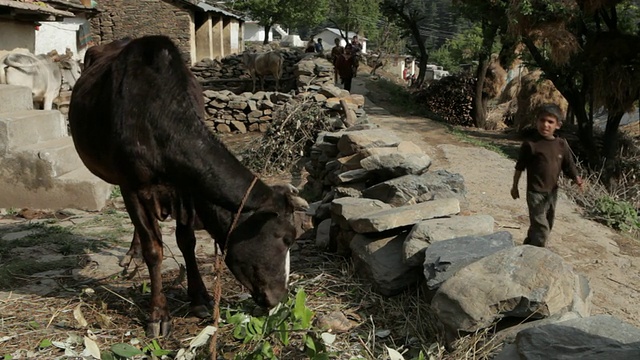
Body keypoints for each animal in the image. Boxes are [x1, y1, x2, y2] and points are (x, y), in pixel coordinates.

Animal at [69, 36, 308, 338]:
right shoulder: (132, 186)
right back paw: (133, 254)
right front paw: (158, 314)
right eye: (287, 238)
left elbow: (187, 242)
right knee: (141, 231)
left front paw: (199, 298)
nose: (280, 298)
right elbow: (154, 249)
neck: (156, 116)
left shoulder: (186, 191)